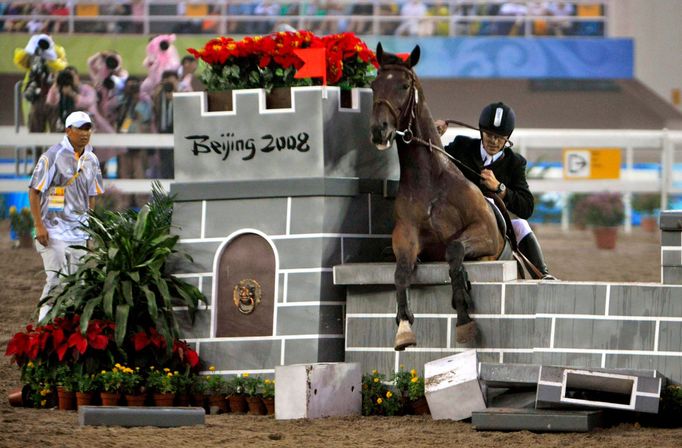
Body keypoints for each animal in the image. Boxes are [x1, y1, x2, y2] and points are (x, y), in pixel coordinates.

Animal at [366, 43, 504, 350]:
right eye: (373, 85)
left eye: (405, 85)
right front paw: (404, 327)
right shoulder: (406, 236)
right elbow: (401, 271)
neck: (430, 181)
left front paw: (463, 316)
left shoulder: (485, 234)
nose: (379, 131)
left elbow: (454, 250)